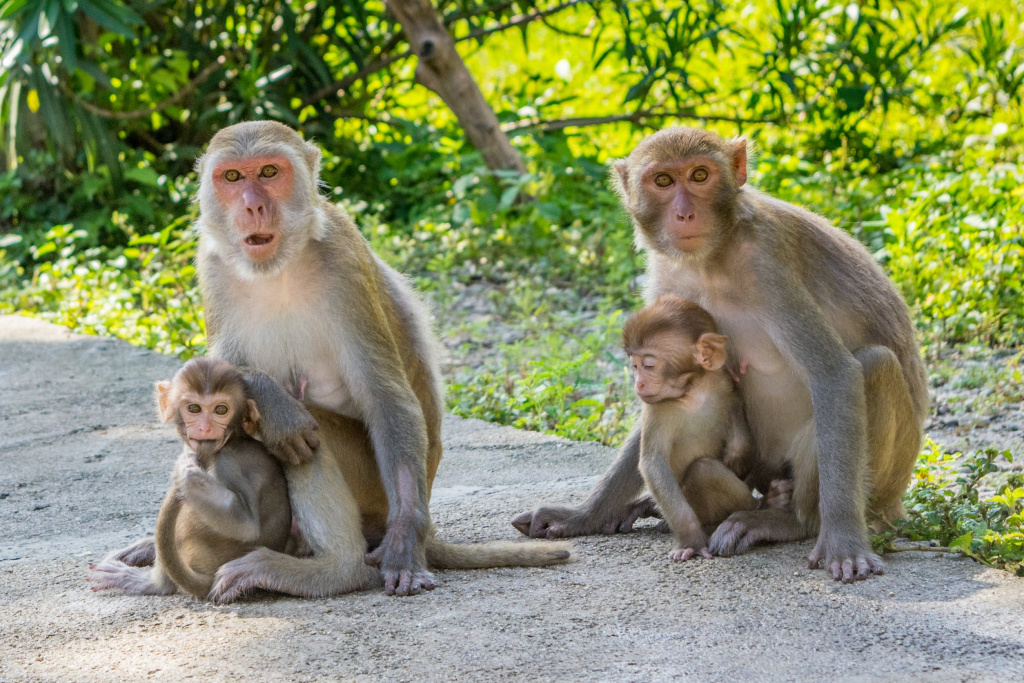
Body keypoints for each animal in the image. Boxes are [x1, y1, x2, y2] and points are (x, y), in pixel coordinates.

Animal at [87, 358, 292, 598]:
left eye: (221, 409)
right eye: (193, 408)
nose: (205, 428)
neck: (233, 440)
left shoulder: (229, 461)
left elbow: (246, 525)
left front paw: (184, 469)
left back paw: (152, 583)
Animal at [162, 120, 573, 602]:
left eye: (268, 172)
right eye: (231, 177)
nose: (252, 207)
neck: (279, 269)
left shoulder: (344, 260)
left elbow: (384, 398)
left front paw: (402, 546)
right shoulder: (211, 265)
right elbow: (213, 378)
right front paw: (262, 388)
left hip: (374, 490)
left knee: (306, 435)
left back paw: (332, 570)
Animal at [618, 294, 786, 561]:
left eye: (648, 365)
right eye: (634, 366)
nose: (638, 383)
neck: (694, 392)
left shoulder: (724, 383)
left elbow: (738, 418)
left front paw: (737, 450)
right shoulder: (657, 409)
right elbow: (654, 463)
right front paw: (691, 540)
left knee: (705, 470)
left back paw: (761, 505)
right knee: (702, 471)